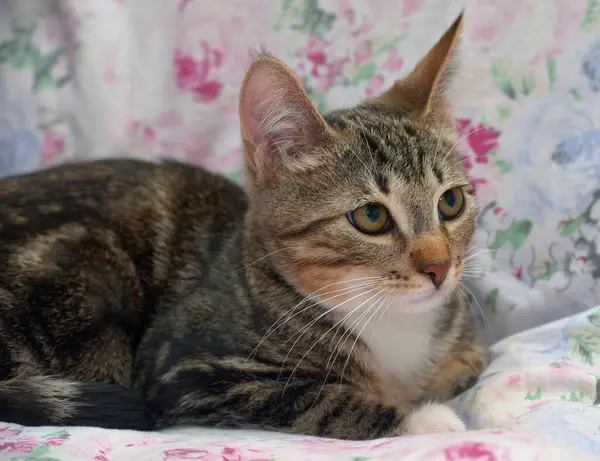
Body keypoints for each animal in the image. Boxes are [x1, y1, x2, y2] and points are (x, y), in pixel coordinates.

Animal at [0, 14, 482, 438]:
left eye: (451, 202)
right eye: (371, 217)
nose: (440, 267)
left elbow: (471, 360)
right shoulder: (186, 369)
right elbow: (315, 398)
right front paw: (426, 420)